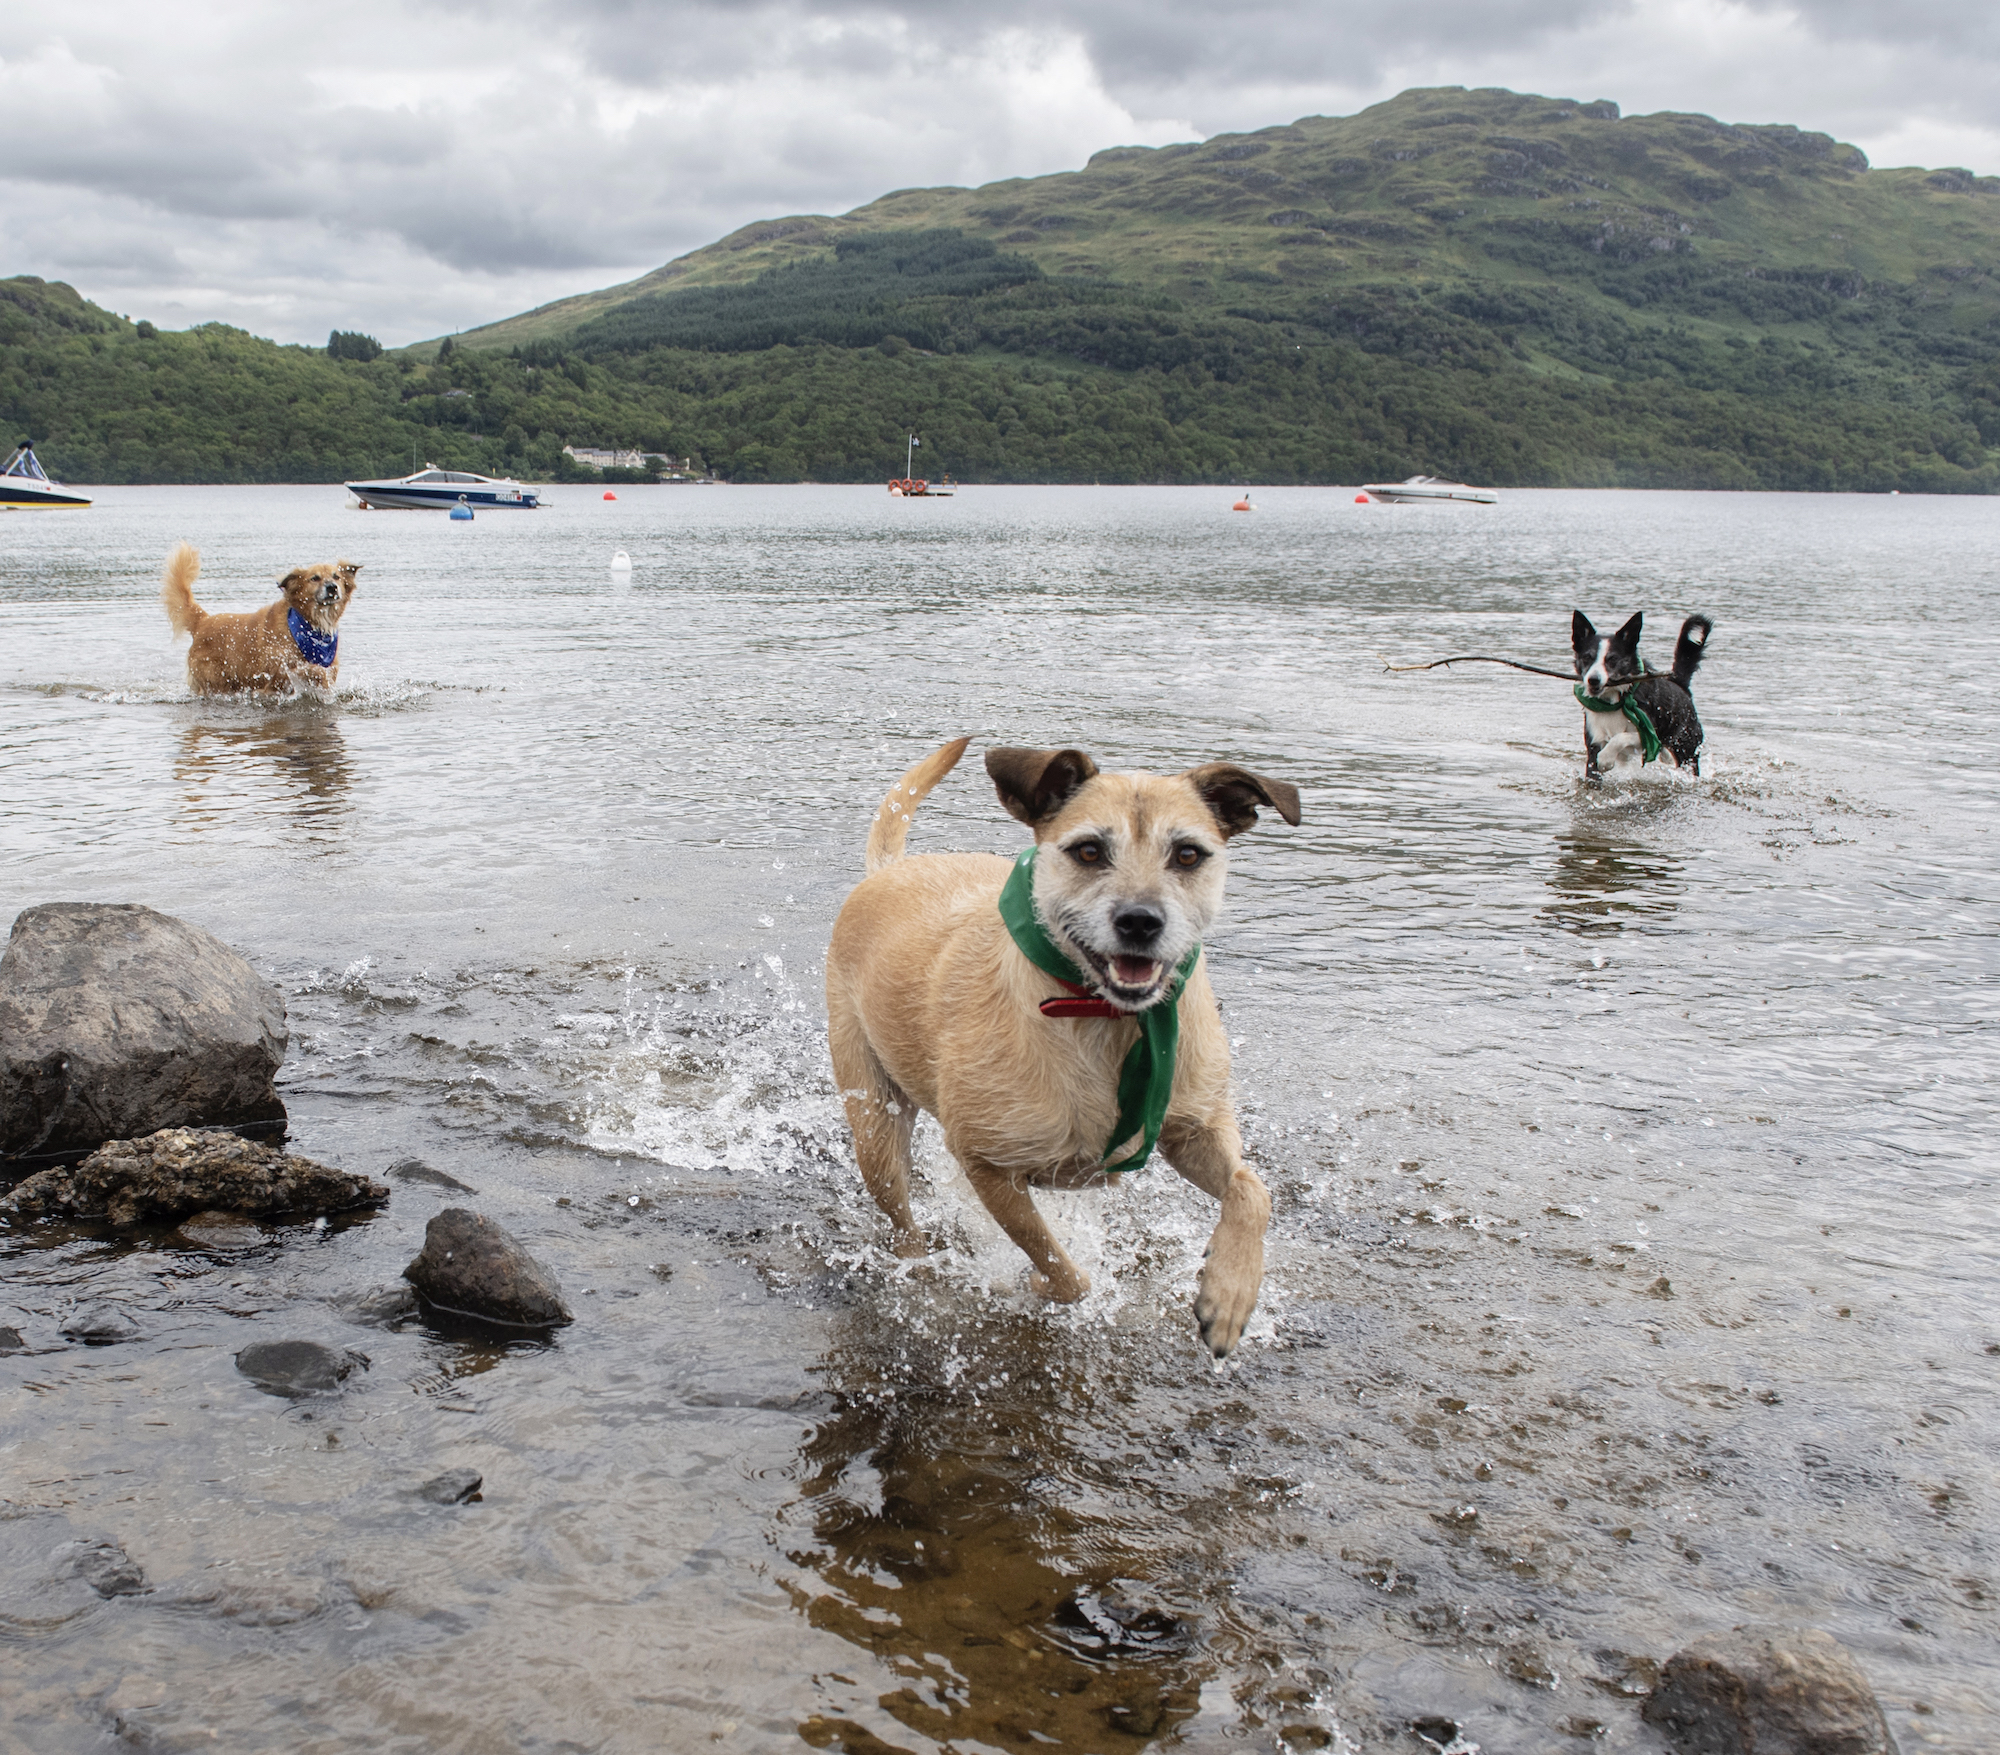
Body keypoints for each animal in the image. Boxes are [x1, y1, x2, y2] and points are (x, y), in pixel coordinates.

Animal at [160, 543, 360, 699]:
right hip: (217, 680)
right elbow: (311, 670)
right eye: (315, 578)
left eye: (336, 576)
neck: (309, 624)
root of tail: (203, 620)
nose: (332, 588)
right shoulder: (279, 671)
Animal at [824, 739, 1304, 1359]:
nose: (1140, 921)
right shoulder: (987, 1164)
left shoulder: (1193, 1130)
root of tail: (891, 871)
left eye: (1188, 855)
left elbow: (1253, 1190)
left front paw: (1229, 1295)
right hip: (874, 1127)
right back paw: (920, 1267)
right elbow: (1059, 1266)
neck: (1104, 1018)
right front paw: (1039, 1284)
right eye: (1090, 851)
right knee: (902, 1222)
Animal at [1568, 615, 1712, 779]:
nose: (1593, 680)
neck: (1615, 700)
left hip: (1686, 750)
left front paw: (1606, 758)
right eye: (1587, 657)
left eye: (1613, 659)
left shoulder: (1650, 735)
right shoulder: (1594, 742)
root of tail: (1679, 685)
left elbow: (1621, 737)